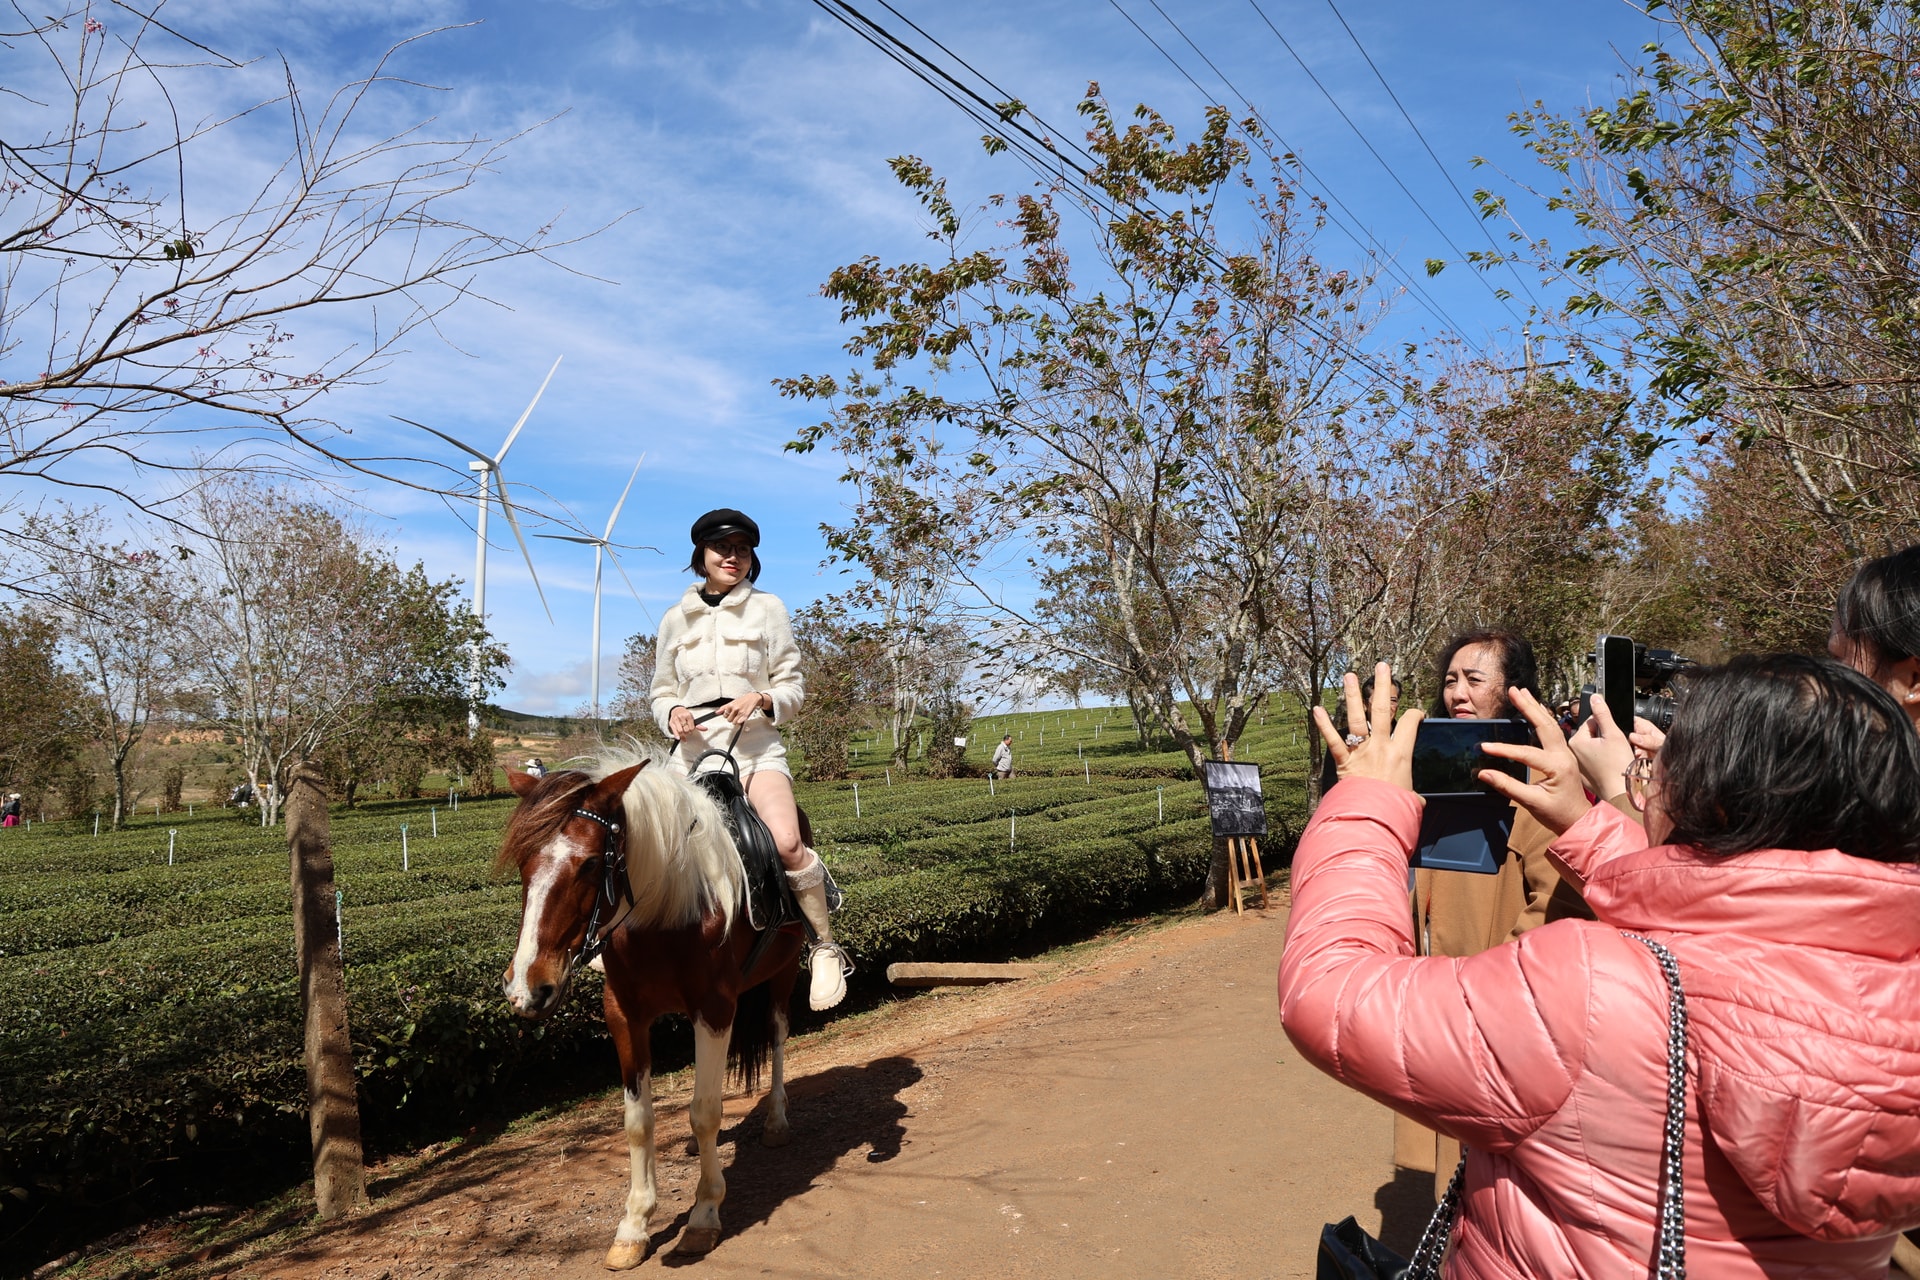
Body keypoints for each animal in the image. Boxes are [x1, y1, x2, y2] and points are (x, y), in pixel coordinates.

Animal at [497, 745, 808, 1266]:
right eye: (523, 862)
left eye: (588, 864)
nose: (527, 987)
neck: (666, 910)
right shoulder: (624, 1016)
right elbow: (638, 1122)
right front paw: (634, 1225)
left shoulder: (714, 1009)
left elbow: (704, 1111)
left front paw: (704, 1215)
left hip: (782, 973)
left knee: (778, 1037)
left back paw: (778, 1120)